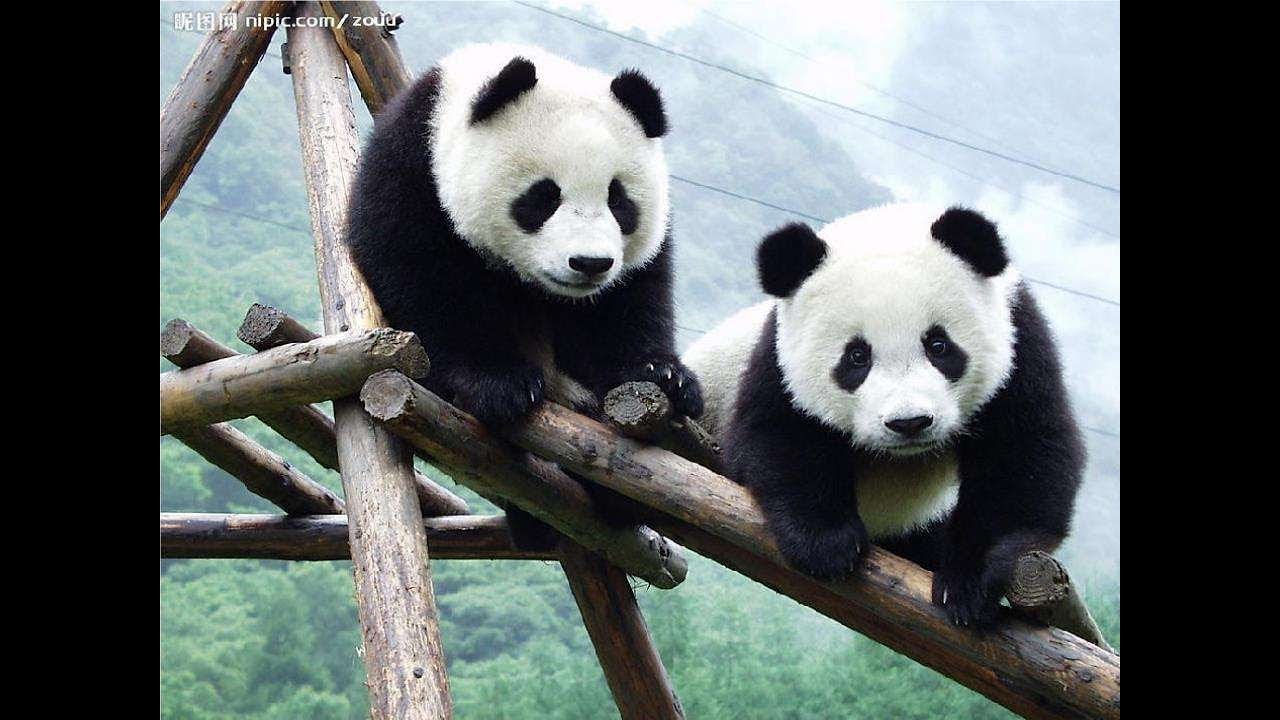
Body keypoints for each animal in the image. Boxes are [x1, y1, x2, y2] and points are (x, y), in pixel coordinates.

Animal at [346, 43, 703, 431]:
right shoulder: (412, 168)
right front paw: (499, 382)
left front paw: (663, 374)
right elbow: (424, 276)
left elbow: (631, 300)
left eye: (618, 200)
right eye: (544, 196)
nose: (589, 263)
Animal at [683, 203, 1084, 627]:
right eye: (857, 357)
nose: (909, 423)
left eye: (938, 345)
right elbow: (777, 435)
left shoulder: (1020, 337)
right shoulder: (778, 358)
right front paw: (826, 544)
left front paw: (968, 584)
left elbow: (1024, 453)